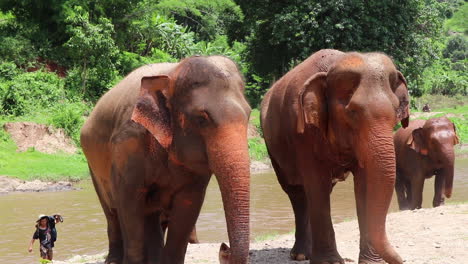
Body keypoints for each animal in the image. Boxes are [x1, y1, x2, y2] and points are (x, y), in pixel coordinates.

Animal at [79, 56, 252, 264]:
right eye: (201, 119)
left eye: (249, 114)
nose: (224, 247)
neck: (172, 74)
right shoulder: (128, 145)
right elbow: (129, 202)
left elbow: (188, 206)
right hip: (93, 167)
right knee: (112, 212)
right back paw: (113, 260)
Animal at [260, 49, 410, 264]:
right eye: (353, 112)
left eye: (396, 112)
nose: (403, 260)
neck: (332, 66)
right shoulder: (303, 134)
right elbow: (317, 184)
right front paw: (329, 262)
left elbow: (364, 184)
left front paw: (371, 262)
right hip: (274, 149)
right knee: (297, 193)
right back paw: (301, 255)